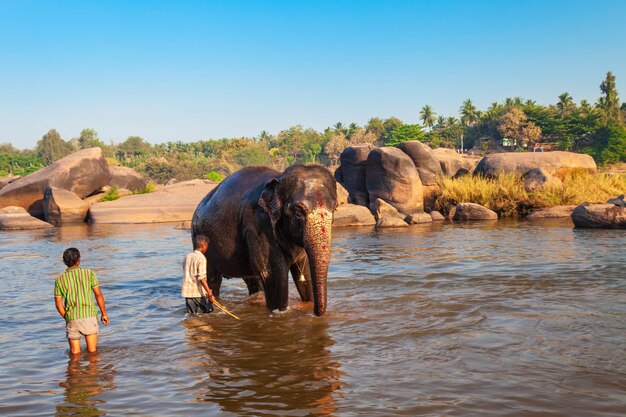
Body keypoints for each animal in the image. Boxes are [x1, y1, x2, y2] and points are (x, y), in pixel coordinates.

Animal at [190, 165, 336, 316]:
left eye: (335, 208)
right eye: (297, 212)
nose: (316, 314)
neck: (280, 177)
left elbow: (304, 270)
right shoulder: (259, 224)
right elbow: (272, 274)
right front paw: (280, 313)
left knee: (253, 281)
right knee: (211, 279)